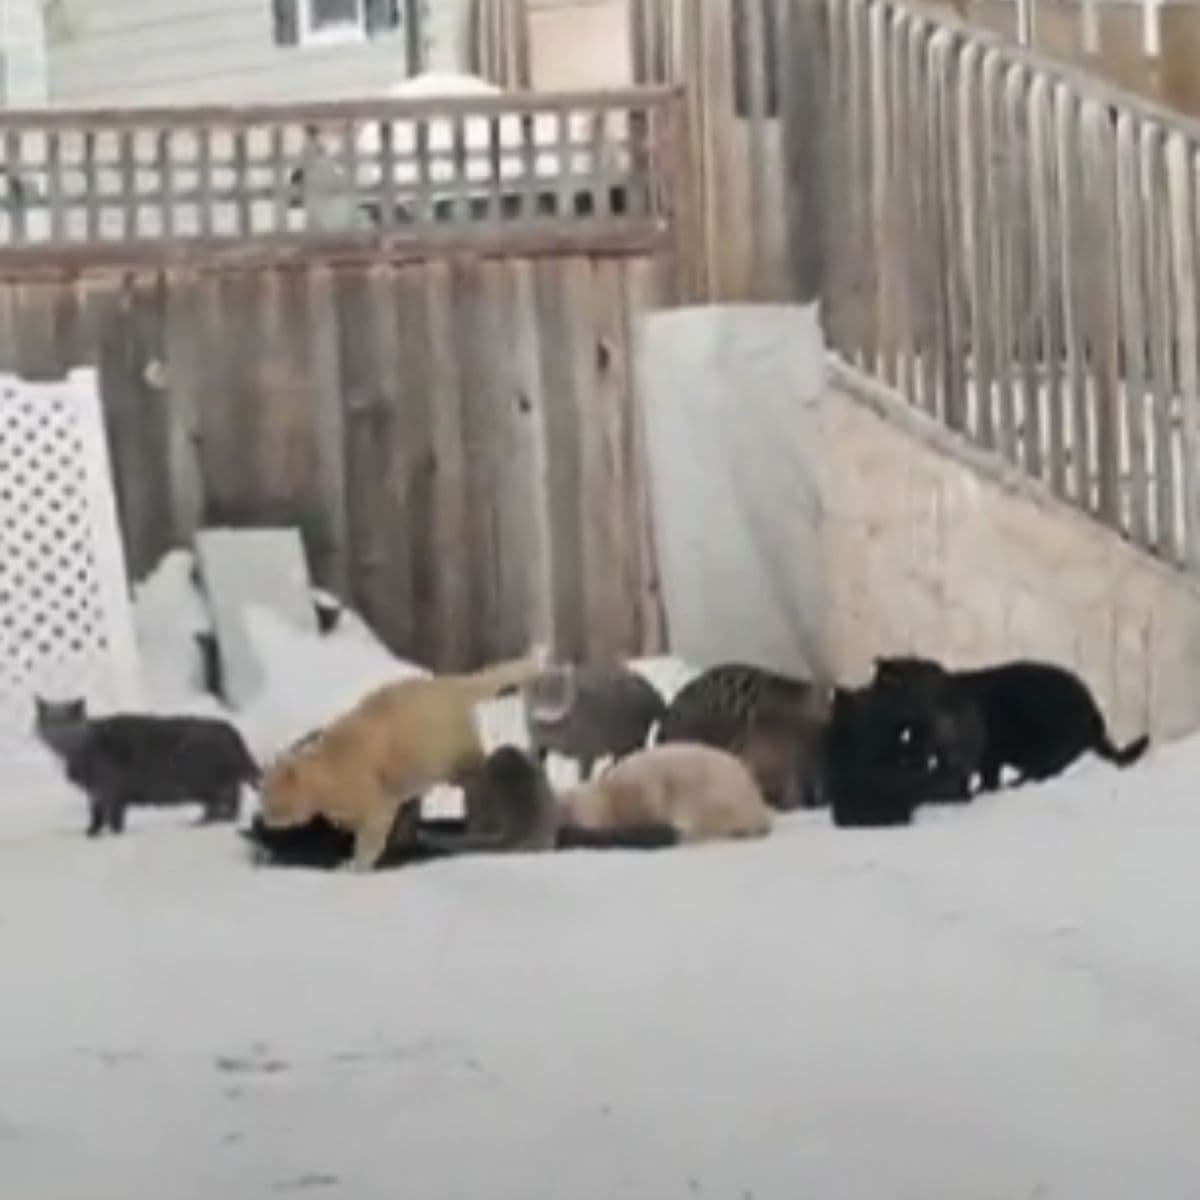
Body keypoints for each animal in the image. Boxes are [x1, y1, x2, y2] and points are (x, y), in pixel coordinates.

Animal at [36, 700, 261, 840]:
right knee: (232, 801)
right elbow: (99, 816)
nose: (59, 733)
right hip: (218, 782)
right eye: (50, 723)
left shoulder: (110, 789)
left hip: (201, 780)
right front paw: (93, 833)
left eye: (67, 723)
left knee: (218, 804)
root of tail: (232, 731)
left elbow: (110, 818)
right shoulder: (98, 793)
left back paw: (201, 822)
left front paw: (107, 835)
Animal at [260, 648, 549, 873]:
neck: (326, 768)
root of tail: (448, 683)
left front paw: (354, 866)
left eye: (271, 799)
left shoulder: (375, 806)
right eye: (263, 796)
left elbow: (369, 843)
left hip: (453, 758)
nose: (263, 816)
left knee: (478, 767)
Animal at [523, 662, 667, 782]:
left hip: (631, 739)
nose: (550, 706)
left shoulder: (587, 752)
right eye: (536, 690)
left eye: (560, 687)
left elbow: (583, 776)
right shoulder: (536, 744)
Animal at [873, 652, 1152, 792]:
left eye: (878, 688)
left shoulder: (982, 756)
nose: (868, 695)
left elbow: (980, 779)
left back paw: (1015, 784)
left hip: (1047, 746)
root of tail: (1092, 708)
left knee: (1043, 770)